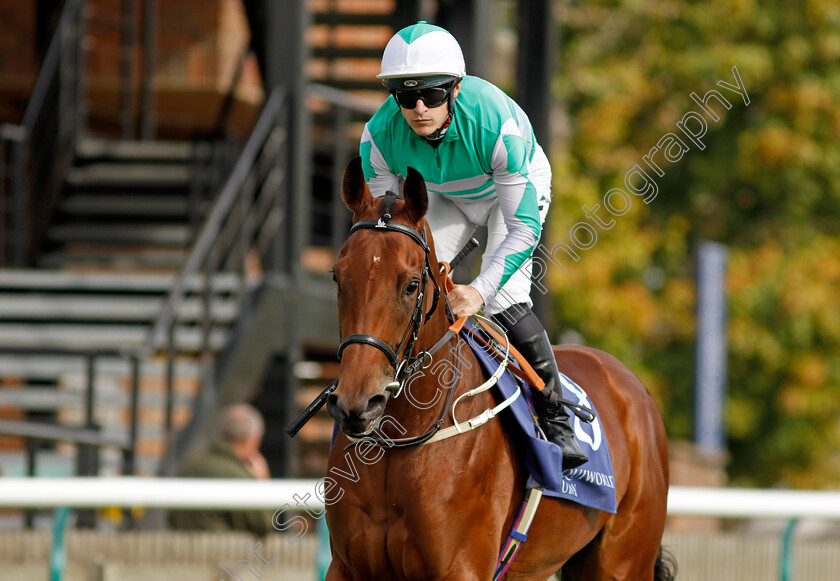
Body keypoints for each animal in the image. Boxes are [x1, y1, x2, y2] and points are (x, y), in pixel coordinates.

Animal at [324, 156, 672, 576]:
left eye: (411, 285)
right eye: (338, 277)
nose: (357, 403)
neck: (400, 439)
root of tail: (635, 387)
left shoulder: (462, 568)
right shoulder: (346, 567)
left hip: (622, 560)